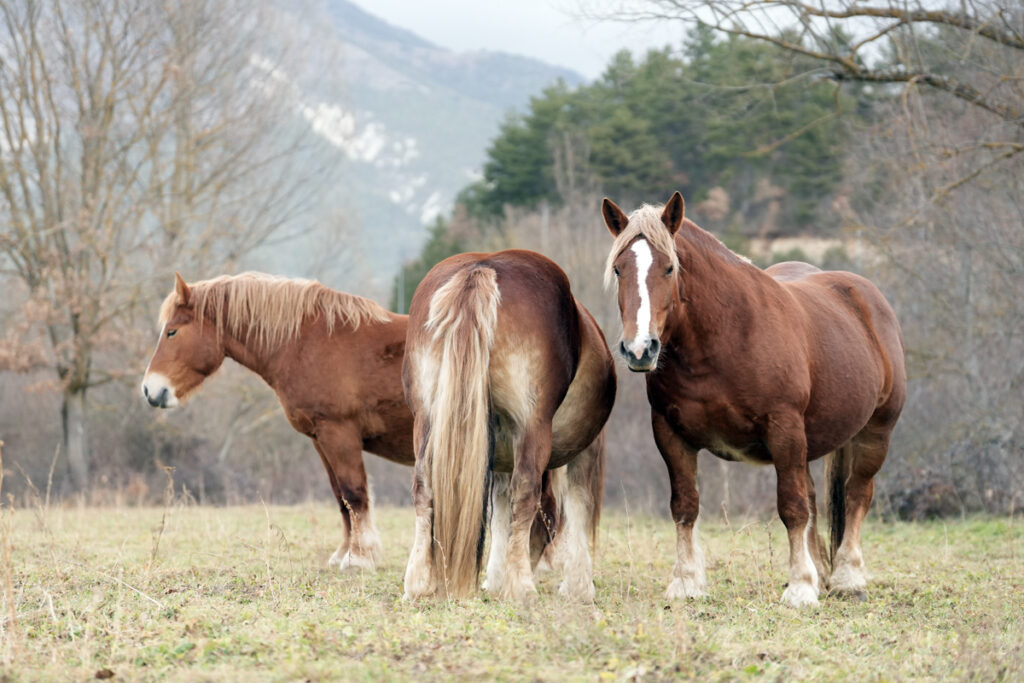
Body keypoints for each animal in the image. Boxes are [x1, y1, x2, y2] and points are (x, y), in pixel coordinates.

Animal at [143, 270, 593, 573]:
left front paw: (360, 558)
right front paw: (345, 553)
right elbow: (341, 500)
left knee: (546, 505)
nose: (152, 391)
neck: (307, 342)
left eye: (172, 331)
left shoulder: (338, 433)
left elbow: (354, 493)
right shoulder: (320, 440)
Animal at [401, 250, 614, 602]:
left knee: (423, 487)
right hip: (532, 426)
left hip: (425, 420)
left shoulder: (498, 454)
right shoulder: (585, 448)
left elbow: (500, 511)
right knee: (526, 492)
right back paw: (523, 588)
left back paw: (418, 583)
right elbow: (577, 505)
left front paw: (496, 578)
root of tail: (483, 266)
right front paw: (578, 586)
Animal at [598, 192, 905, 610]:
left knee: (857, 492)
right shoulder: (670, 433)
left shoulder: (784, 429)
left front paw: (800, 588)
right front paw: (686, 582)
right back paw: (821, 573)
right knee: (815, 497)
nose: (640, 349)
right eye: (618, 270)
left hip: (875, 432)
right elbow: (685, 505)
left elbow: (792, 507)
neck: (723, 338)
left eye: (669, 268)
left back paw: (847, 577)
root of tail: (865, 296)